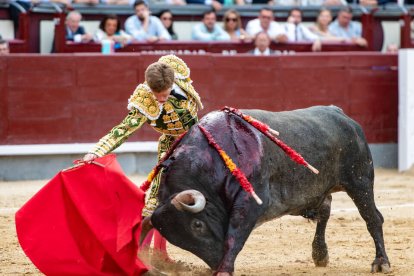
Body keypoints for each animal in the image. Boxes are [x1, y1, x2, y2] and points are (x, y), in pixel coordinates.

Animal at [147, 105, 390, 274]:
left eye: (197, 225)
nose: (215, 263)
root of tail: (342, 115)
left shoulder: (250, 202)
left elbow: (234, 236)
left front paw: (225, 269)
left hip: (360, 181)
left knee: (372, 218)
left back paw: (381, 263)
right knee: (325, 210)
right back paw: (320, 254)